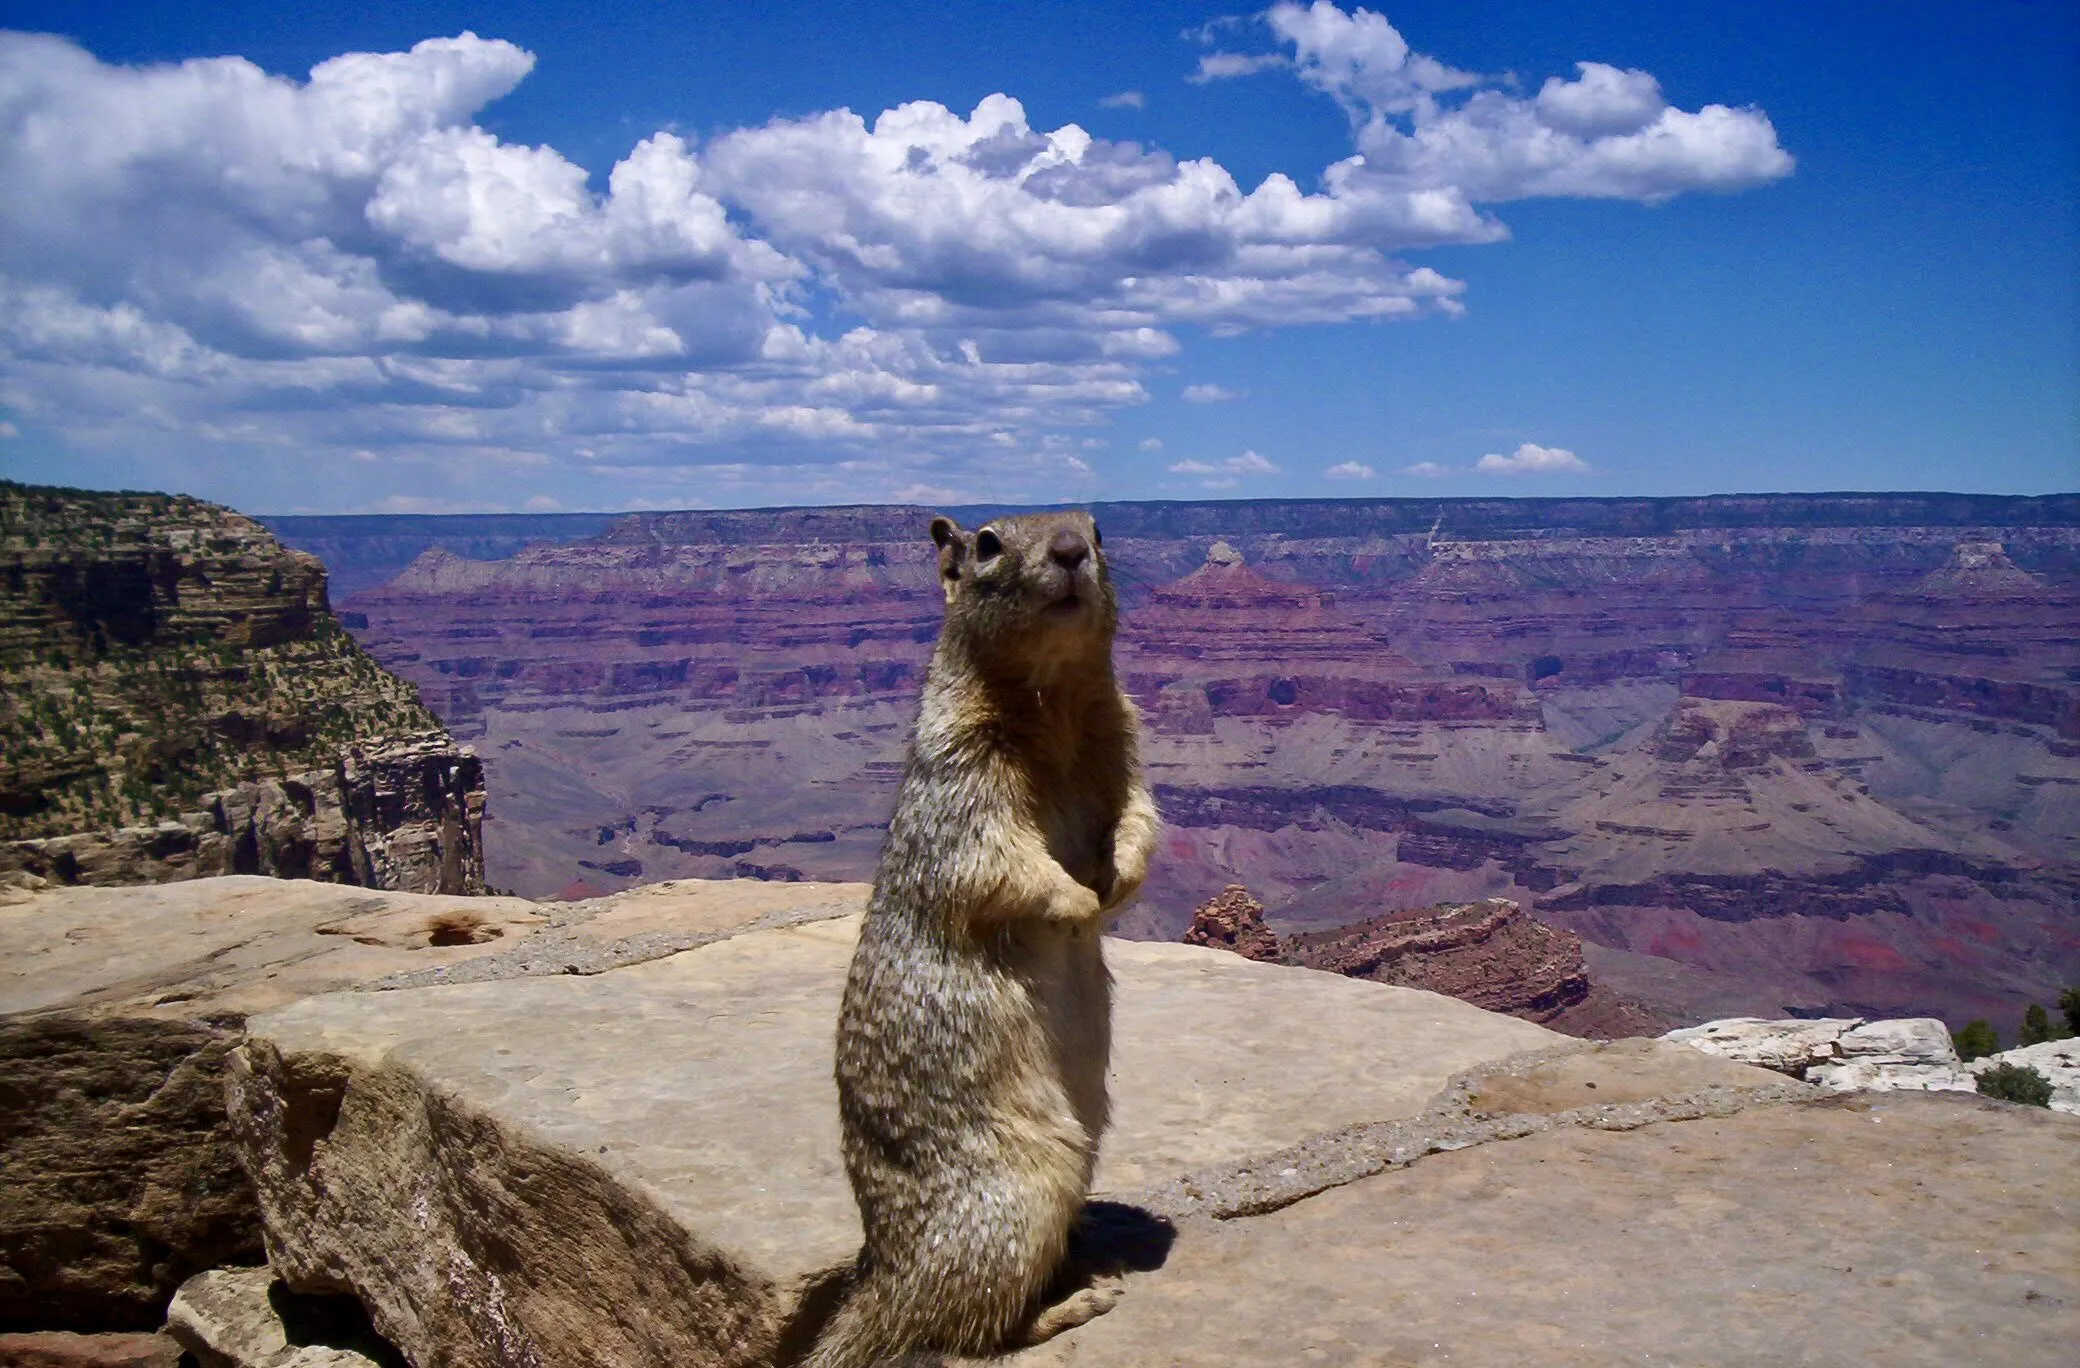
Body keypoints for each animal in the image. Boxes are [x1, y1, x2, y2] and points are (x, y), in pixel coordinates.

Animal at [801, 510, 1161, 1368]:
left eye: (1099, 525)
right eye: (989, 542)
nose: (1070, 550)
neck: (1055, 702)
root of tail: (882, 1280)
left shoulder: (1125, 740)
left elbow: (1139, 814)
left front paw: (1119, 880)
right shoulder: (961, 780)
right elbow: (998, 861)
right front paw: (1078, 901)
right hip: (1025, 1190)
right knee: (966, 1330)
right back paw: (1075, 1302)